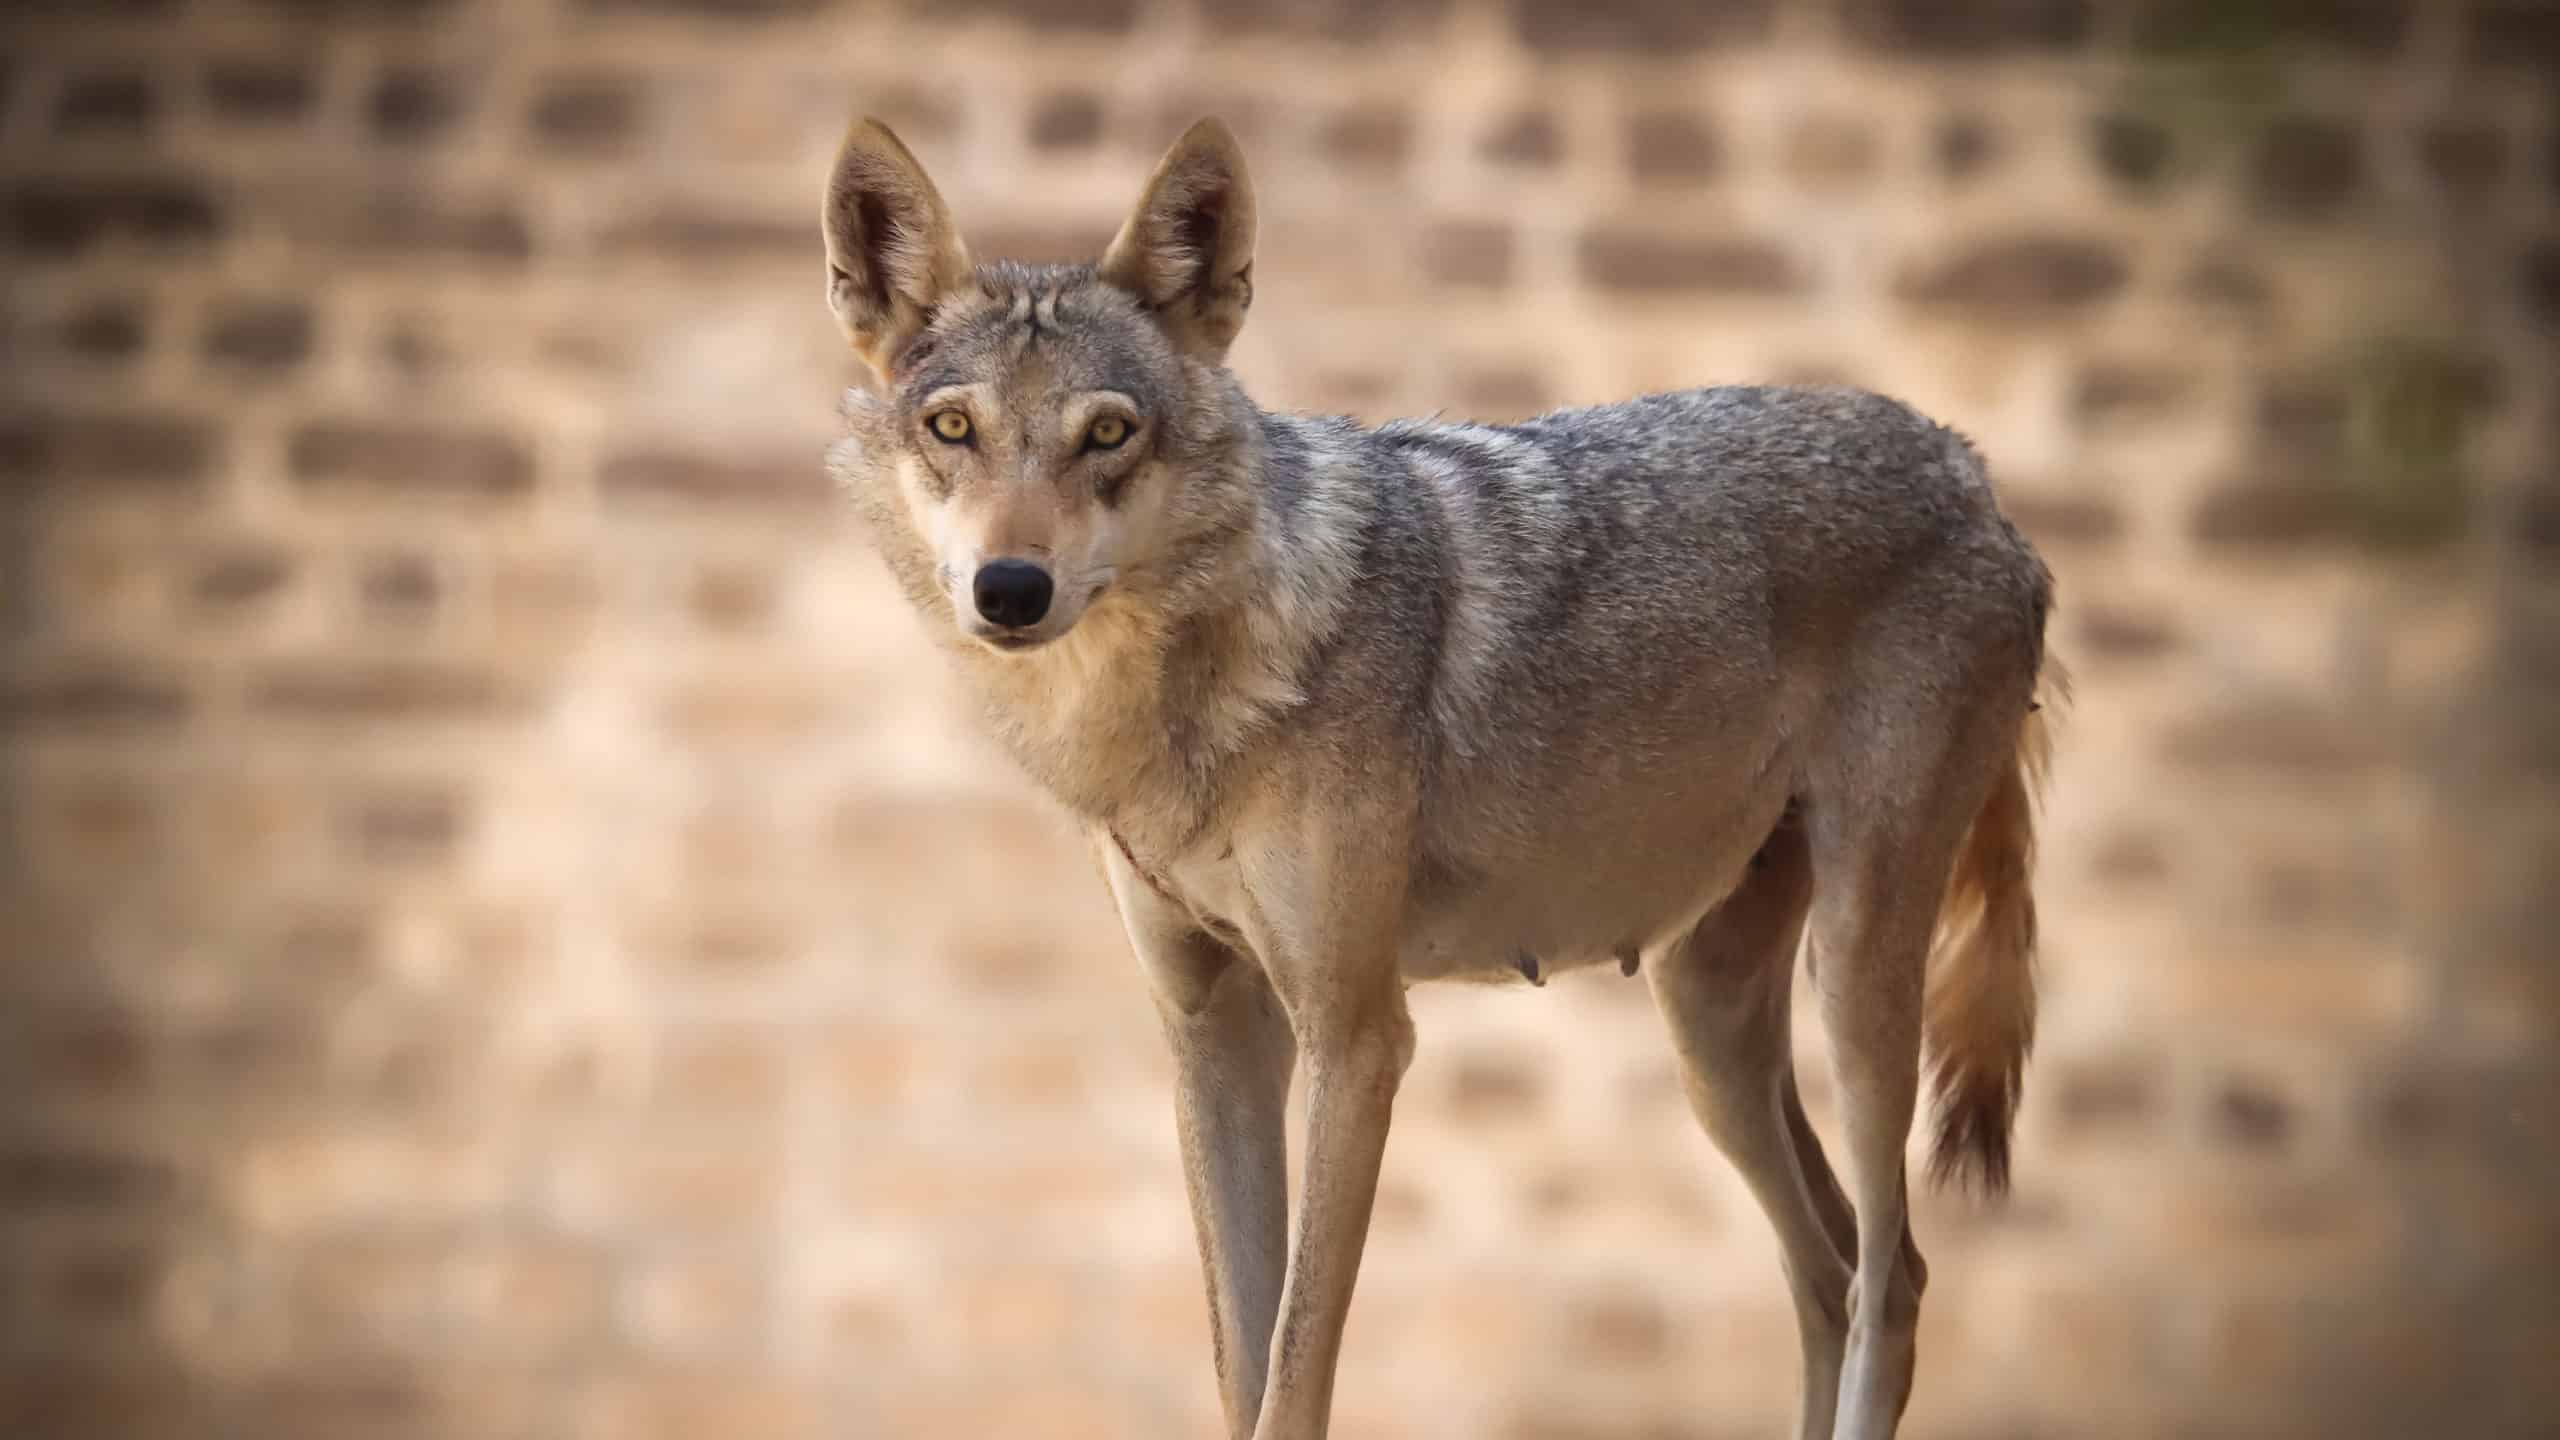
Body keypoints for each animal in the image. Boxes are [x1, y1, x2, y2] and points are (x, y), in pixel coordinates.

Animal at [819, 114, 2062, 1440]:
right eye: (953, 430)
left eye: (1106, 433)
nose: (1010, 589)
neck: (1190, 702)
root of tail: (1974, 476)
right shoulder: (1210, 1033)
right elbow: (1240, 1363)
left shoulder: (1358, 1037)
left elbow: (1295, 1370)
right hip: (1710, 1032)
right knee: (1826, 1273)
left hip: (1858, 980)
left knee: (1892, 1280)